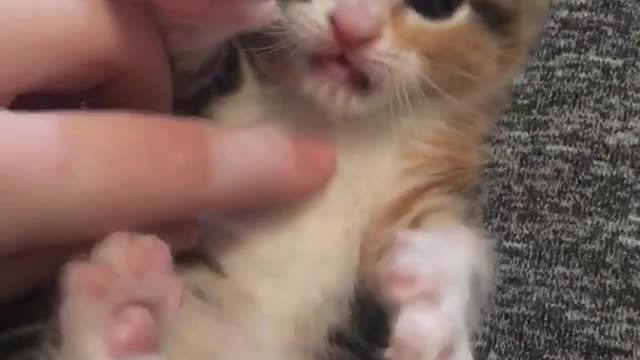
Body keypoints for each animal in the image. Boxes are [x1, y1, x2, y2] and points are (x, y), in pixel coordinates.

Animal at [50, 0, 552, 360]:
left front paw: (436, 301)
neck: (337, 124)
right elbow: (182, 70)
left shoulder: (428, 172)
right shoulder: (176, 102)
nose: (351, 27)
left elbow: (447, 240)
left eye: (435, 4)